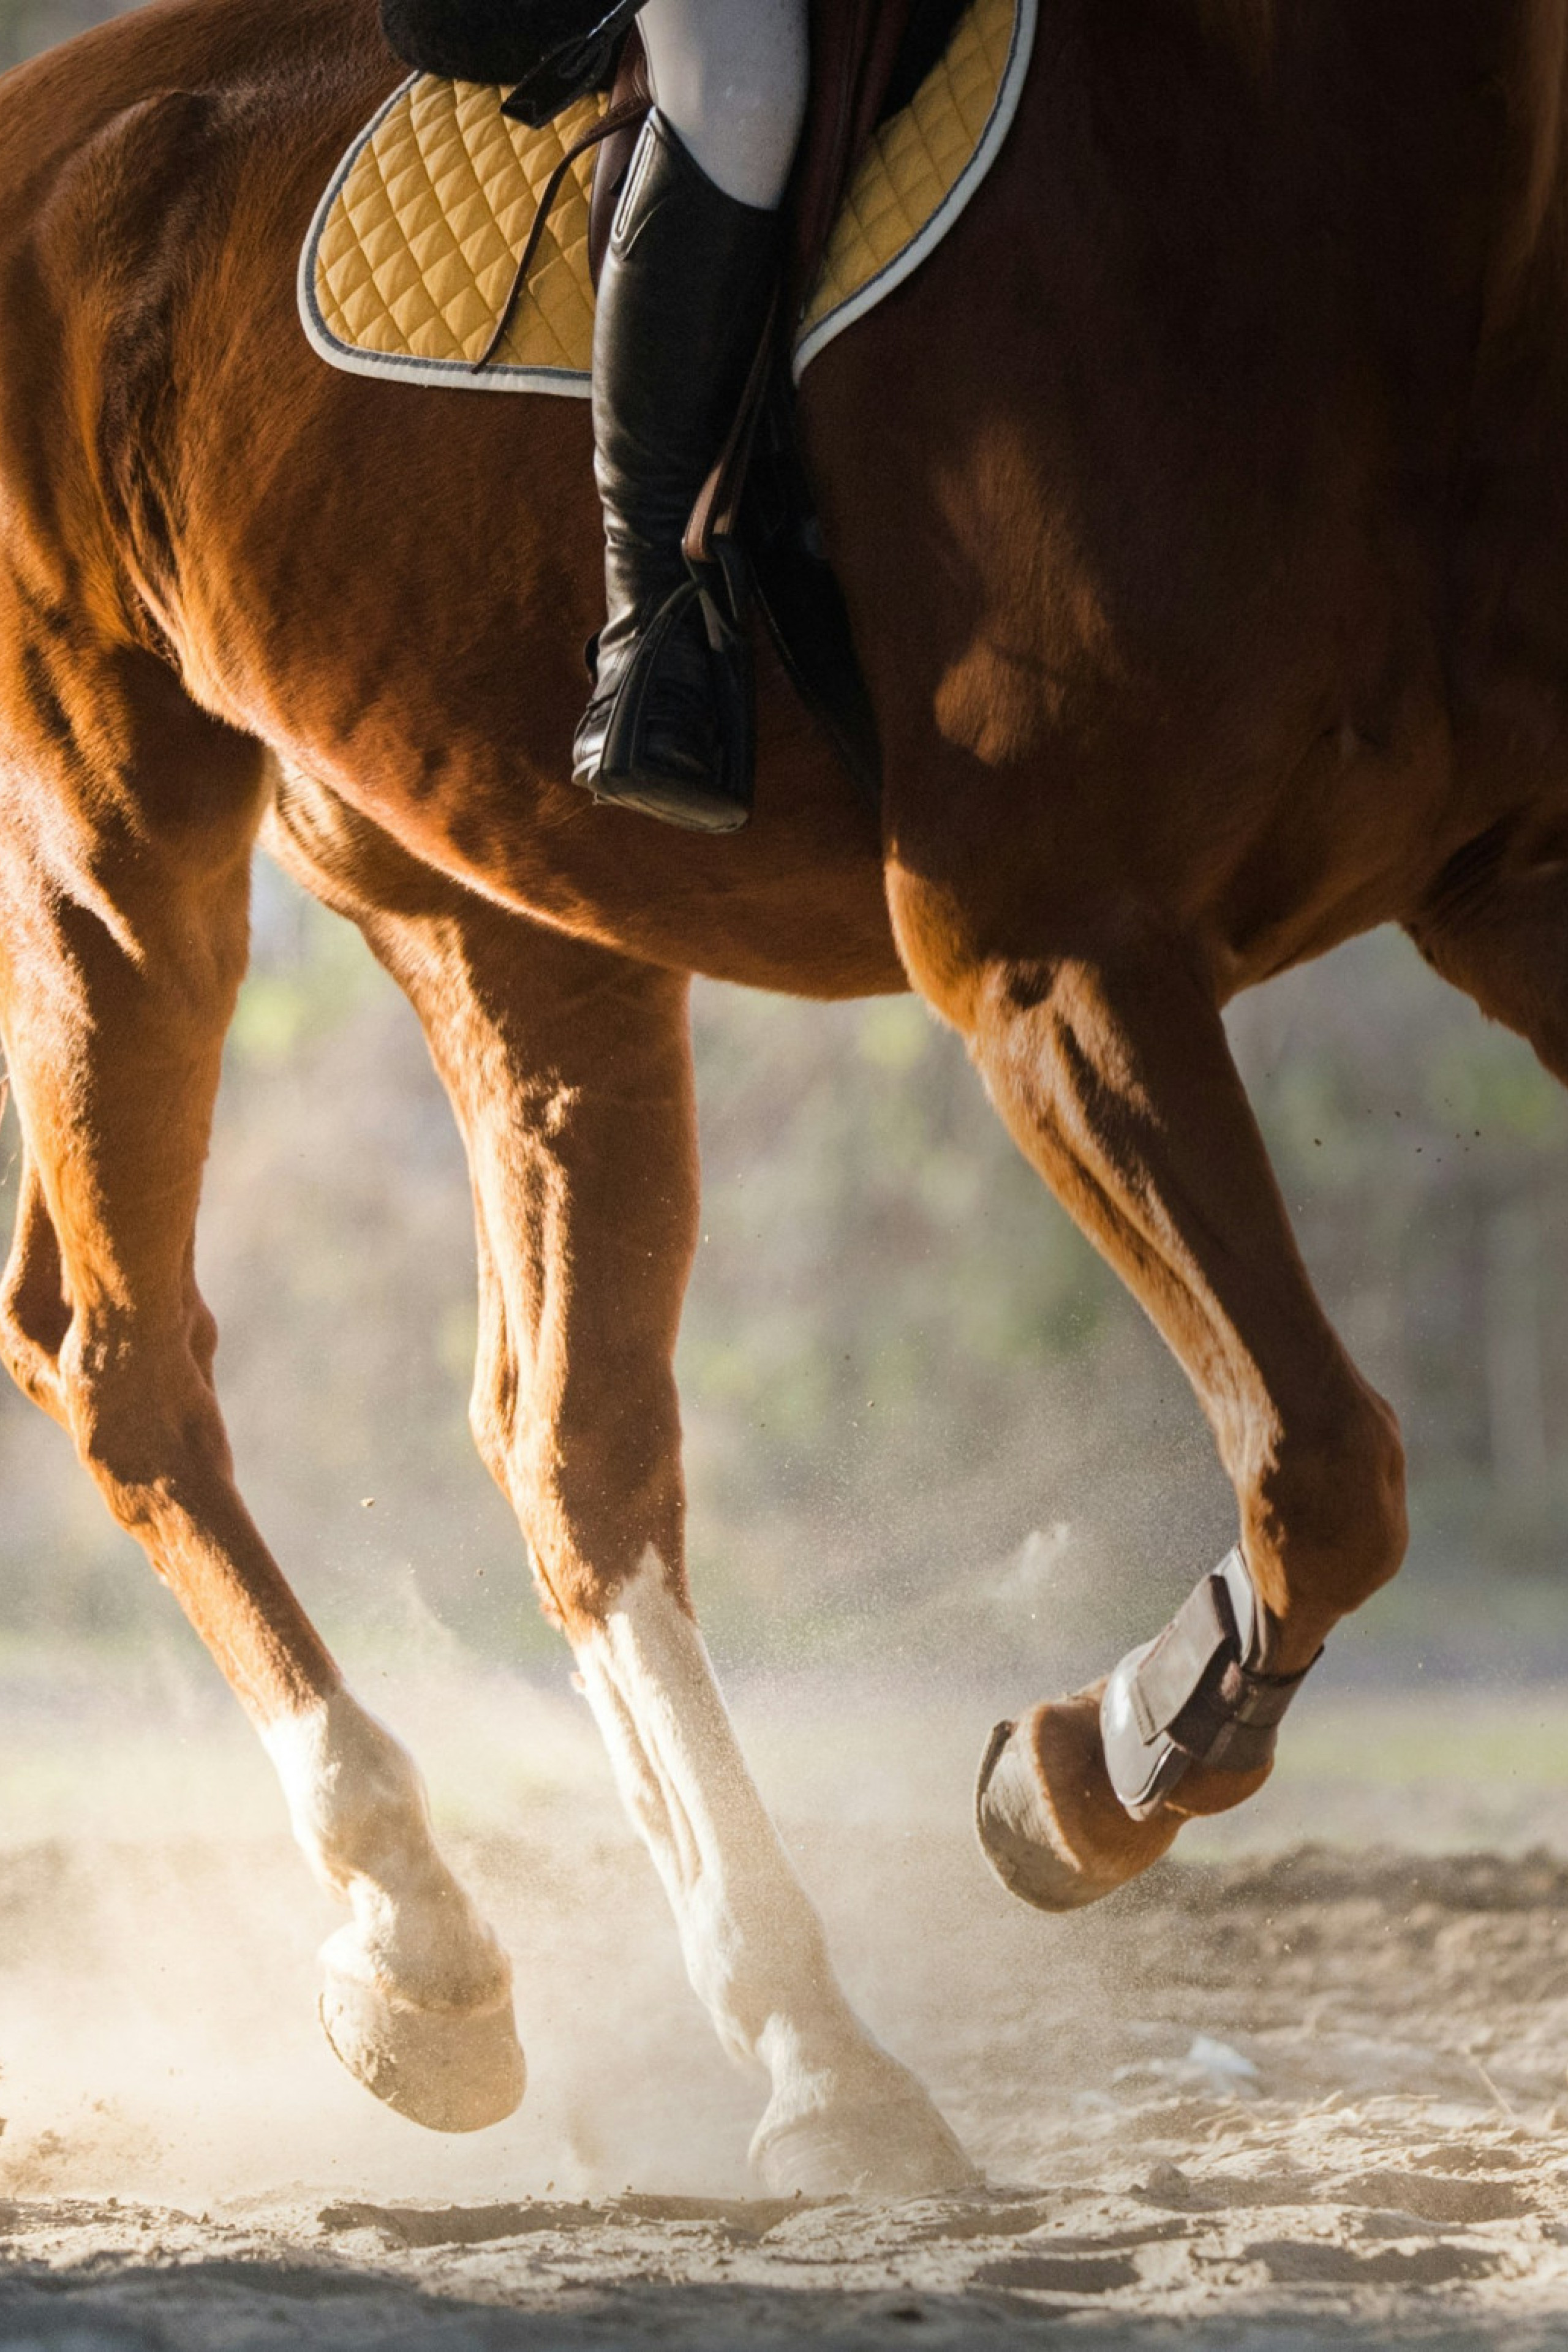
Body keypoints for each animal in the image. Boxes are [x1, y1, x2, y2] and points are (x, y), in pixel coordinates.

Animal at [0, 0, 1564, 2194]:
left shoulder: (1521, 891)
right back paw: (421, 1943)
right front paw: (1095, 1758)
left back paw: (807, 2049)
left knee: (567, 1455)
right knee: (124, 1361)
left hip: (503, 914)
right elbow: (1322, 1459)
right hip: (112, 836)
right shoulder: (1049, 954)